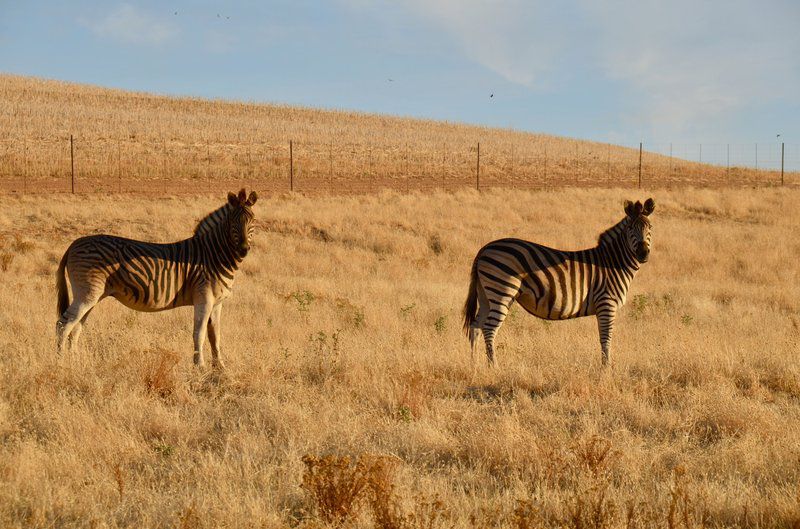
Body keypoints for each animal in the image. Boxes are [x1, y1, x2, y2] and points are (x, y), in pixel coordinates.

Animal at [56, 189, 256, 368]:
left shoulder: (217, 303)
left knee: (76, 327)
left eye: (253, 221)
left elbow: (215, 335)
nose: (244, 249)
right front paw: (200, 367)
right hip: (86, 293)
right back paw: (61, 362)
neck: (213, 255)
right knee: (63, 325)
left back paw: (76, 361)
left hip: (92, 296)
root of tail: (73, 244)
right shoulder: (204, 298)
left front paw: (219, 368)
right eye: (233, 222)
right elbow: (198, 334)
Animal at [462, 196, 656, 366]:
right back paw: (494, 367)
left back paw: (474, 365)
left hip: (485, 294)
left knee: (475, 327)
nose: (643, 253)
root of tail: (485, 248)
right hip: (502, 290)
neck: (612, 262)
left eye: (650, 227)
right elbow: (605, 339)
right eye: (630, 228)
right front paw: (606, 369)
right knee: (489, 328)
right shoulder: (607, 304)